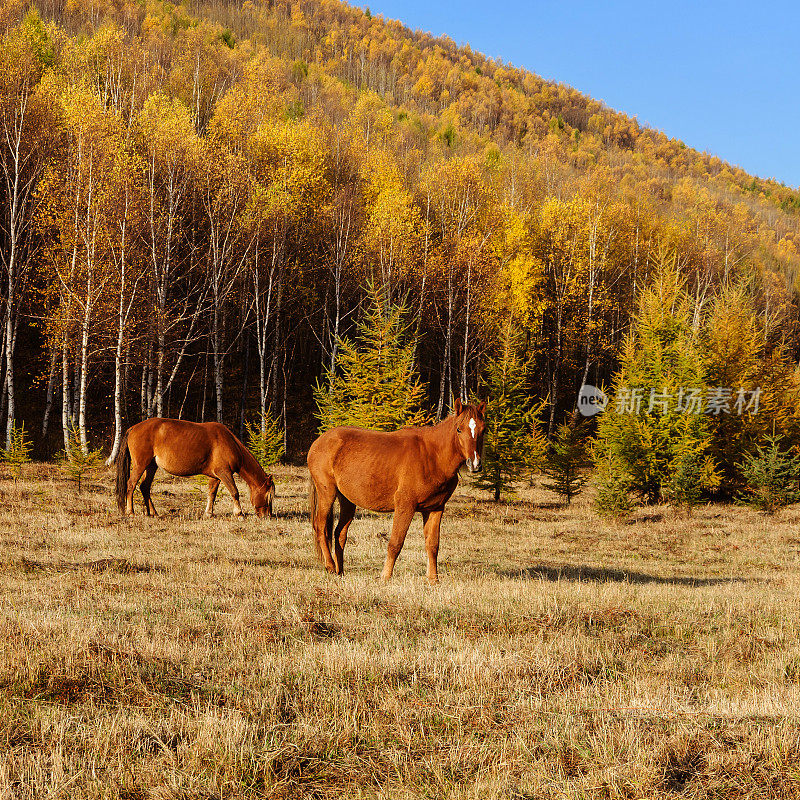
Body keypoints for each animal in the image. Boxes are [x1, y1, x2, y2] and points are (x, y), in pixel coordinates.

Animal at [112, 418, 276, 520]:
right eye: (269, 496)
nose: (267, 516)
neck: (230, 443)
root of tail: (133, 428)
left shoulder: (215, 476)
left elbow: (212, 494)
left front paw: (208, 513)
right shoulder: (224, 473)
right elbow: (234, 492)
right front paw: (239, 514)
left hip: (151, 466)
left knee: (144, 487)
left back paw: (153, 513)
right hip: (141, 464)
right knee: (131, 485)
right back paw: (131, 512)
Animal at [308, 398, 488, 580]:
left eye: (483, 430)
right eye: (459, 429)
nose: (474, 464)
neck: (432, 456)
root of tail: (319, 441)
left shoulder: (435, 508)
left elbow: (432, 545)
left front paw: (433, 580)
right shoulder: (405, 506)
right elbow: (395, 543)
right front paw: (385, 577)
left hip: (347, 500)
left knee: (340, 533)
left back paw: (340, 571)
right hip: (327, 493)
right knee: (320, 527)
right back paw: (330, 566)